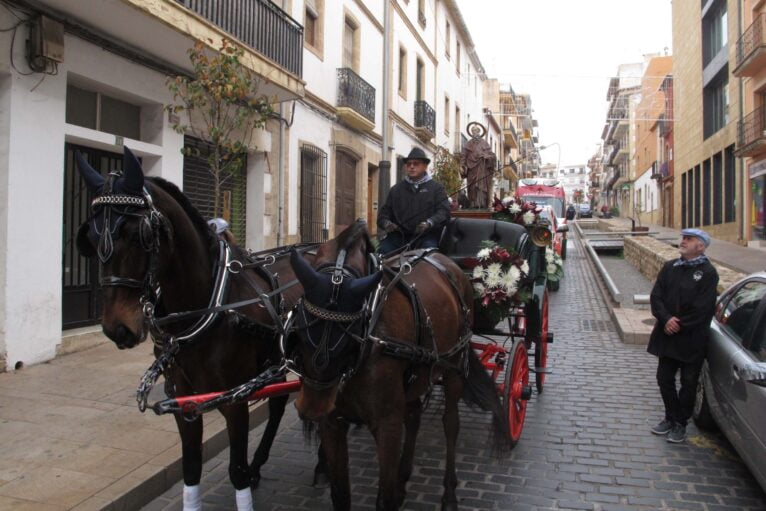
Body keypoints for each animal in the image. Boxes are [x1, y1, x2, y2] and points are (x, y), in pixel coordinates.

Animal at [76, 146, 318, 510]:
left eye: (138, 234)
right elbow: (191, 469)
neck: (208, 305)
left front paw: (245, 476)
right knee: (278, 403)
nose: (118, 328)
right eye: (90, 237)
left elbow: (236, 471)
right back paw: (262, 463)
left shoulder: (234, 398)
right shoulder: (184, 399)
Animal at [288, 221, 510, 511]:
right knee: (414, 416)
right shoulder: (332, 423)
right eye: (299, 325)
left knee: (451, 424)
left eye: (350, 333)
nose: (310, 408)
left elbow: (386, 498)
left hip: (454, 366)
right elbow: (340, 495)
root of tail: (443, 260)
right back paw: (404, 475)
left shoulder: (387, 425)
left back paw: (449, 494)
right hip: (416, 377)